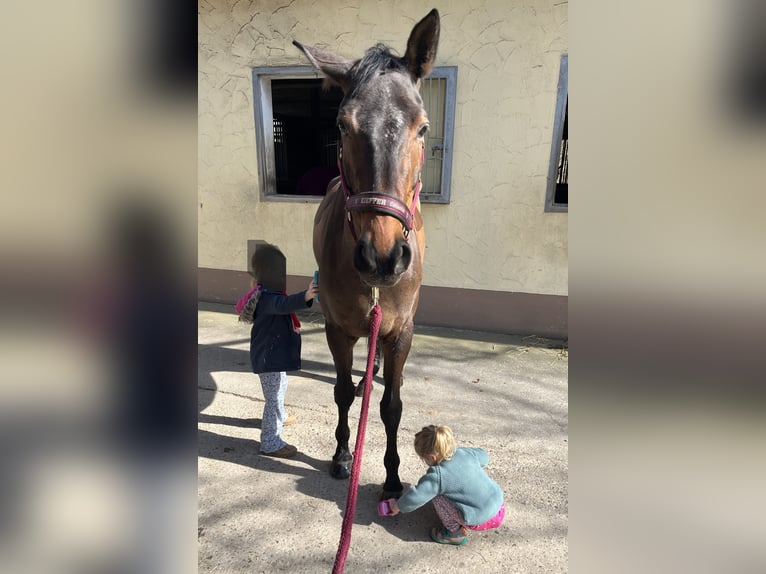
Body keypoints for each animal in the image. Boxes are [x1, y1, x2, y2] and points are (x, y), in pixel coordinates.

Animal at [294, 9, 440, 499]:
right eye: (342, 125)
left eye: (423, 127)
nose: (383, 257)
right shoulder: (337, 328)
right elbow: (340, 393)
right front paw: (342, 455)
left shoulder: (402, 332)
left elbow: (392, 406)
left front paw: (392, 477)